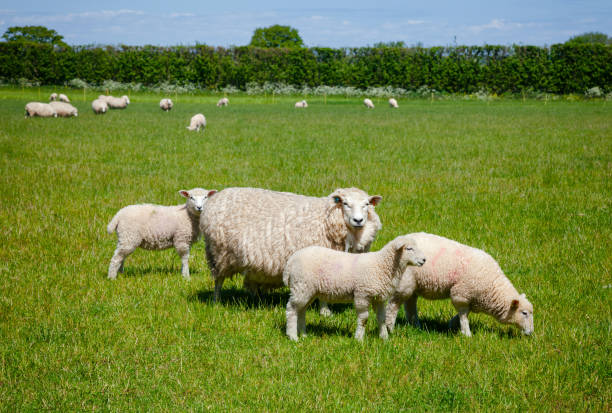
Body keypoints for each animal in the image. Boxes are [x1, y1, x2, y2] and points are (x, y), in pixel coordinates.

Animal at [201, 187, 382, 312]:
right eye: (345, 204)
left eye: (366, 204)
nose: (358, 220)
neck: (326, 220)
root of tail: (216, 198)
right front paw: (325, 312)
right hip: (218, 253)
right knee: (218, 280)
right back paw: (216, 302)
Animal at [284, 235, 424, 342]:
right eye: (409, 248)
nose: (424, 260)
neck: (382, 265)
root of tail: (291, 260)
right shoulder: (362, 294)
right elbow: (364, 319)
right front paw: (359, 338)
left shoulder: (379, 298)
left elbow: (382, 318)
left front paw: (384, 338)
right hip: (301, 286)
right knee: (291, 310)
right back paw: (293, 336)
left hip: (308, 290)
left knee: (301, 311)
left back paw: (303, 334)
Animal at [388, 230, 536, 336]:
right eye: (524, 313)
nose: (530, 333)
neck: (492, 286)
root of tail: (397, 240)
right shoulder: (461, 294)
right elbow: (464, 314)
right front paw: (466, 333)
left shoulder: (472, 298)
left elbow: (465, 313)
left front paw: (452, 324)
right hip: (404, 282)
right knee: (394, 305)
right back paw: (390, 326)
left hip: (412, 285)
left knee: (410, 304)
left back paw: (416, 326)